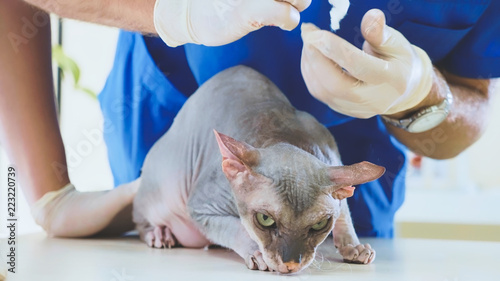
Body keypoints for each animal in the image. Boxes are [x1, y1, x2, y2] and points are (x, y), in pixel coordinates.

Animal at [132, 65, 382, 272]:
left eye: (320, 224)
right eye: (265, 219)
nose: (291, 264)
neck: (285, 137)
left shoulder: (332, 158)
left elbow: (344, 212)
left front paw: (353, 246)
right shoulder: (201, 207)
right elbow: (237, 228)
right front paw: (257, 253)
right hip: (159, 187)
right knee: (142, 218)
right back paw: (159, 233)